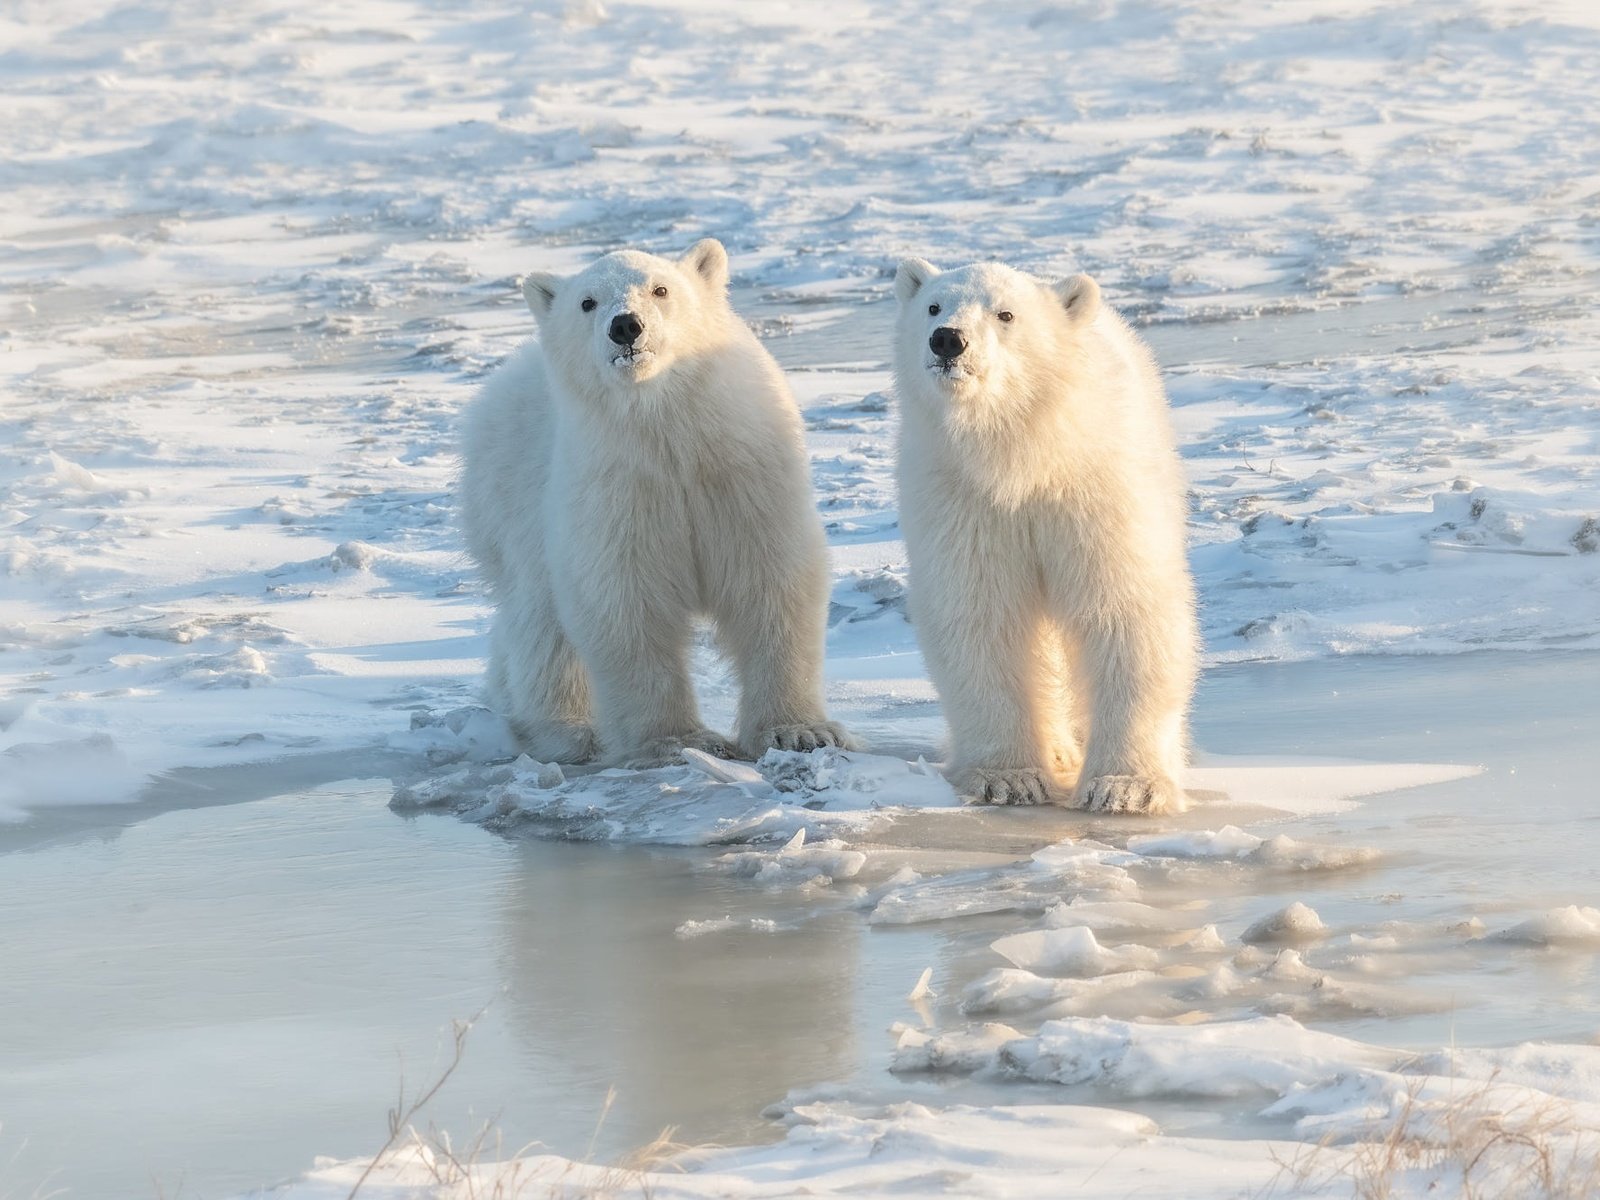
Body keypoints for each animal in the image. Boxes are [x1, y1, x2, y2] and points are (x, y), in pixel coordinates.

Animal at [460, 241, 851, 771]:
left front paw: (801, 731)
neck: (668, 430)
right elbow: (626, 601)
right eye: (587, 302)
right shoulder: (618, 488)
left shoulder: (744, 475)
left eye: (660, 289)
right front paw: (678, 741)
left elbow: (771, 581)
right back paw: (565, 731)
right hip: (513, 502)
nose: (626, 325)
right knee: (540, 620)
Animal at [896, 257, 1196, 812]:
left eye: (1005, 314)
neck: (1024, 456)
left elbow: (1124, 608)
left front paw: (1126, 786)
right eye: (933, 306)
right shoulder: (965, 502)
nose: (948, 340)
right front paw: (1008, 778)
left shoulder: (1094, 490)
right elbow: (981, 616)